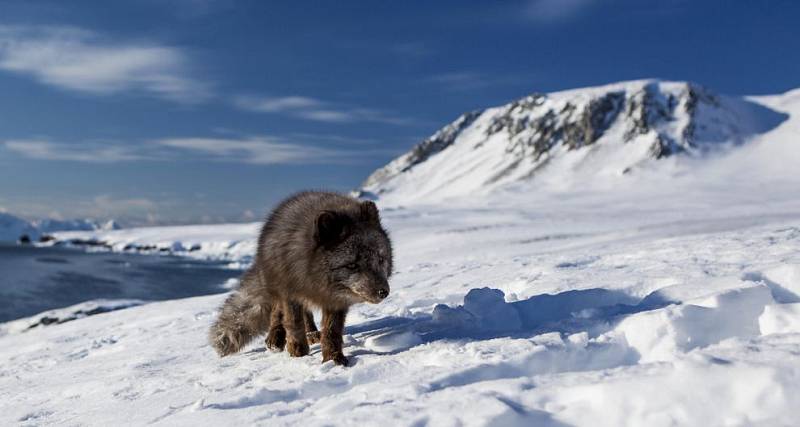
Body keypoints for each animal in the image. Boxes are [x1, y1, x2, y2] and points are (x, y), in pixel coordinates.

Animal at [208, 192, 392, 366]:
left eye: (380, 259)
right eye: (352, 265)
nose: (383, 292)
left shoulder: (335, 300)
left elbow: (332, 331)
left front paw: (333, 359)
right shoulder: (290, 291)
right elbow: (293, 323)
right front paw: (298, 354)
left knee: (307, 315)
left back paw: (311, 334)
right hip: (277, 284)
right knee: (277, 312)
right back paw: (275, 338)